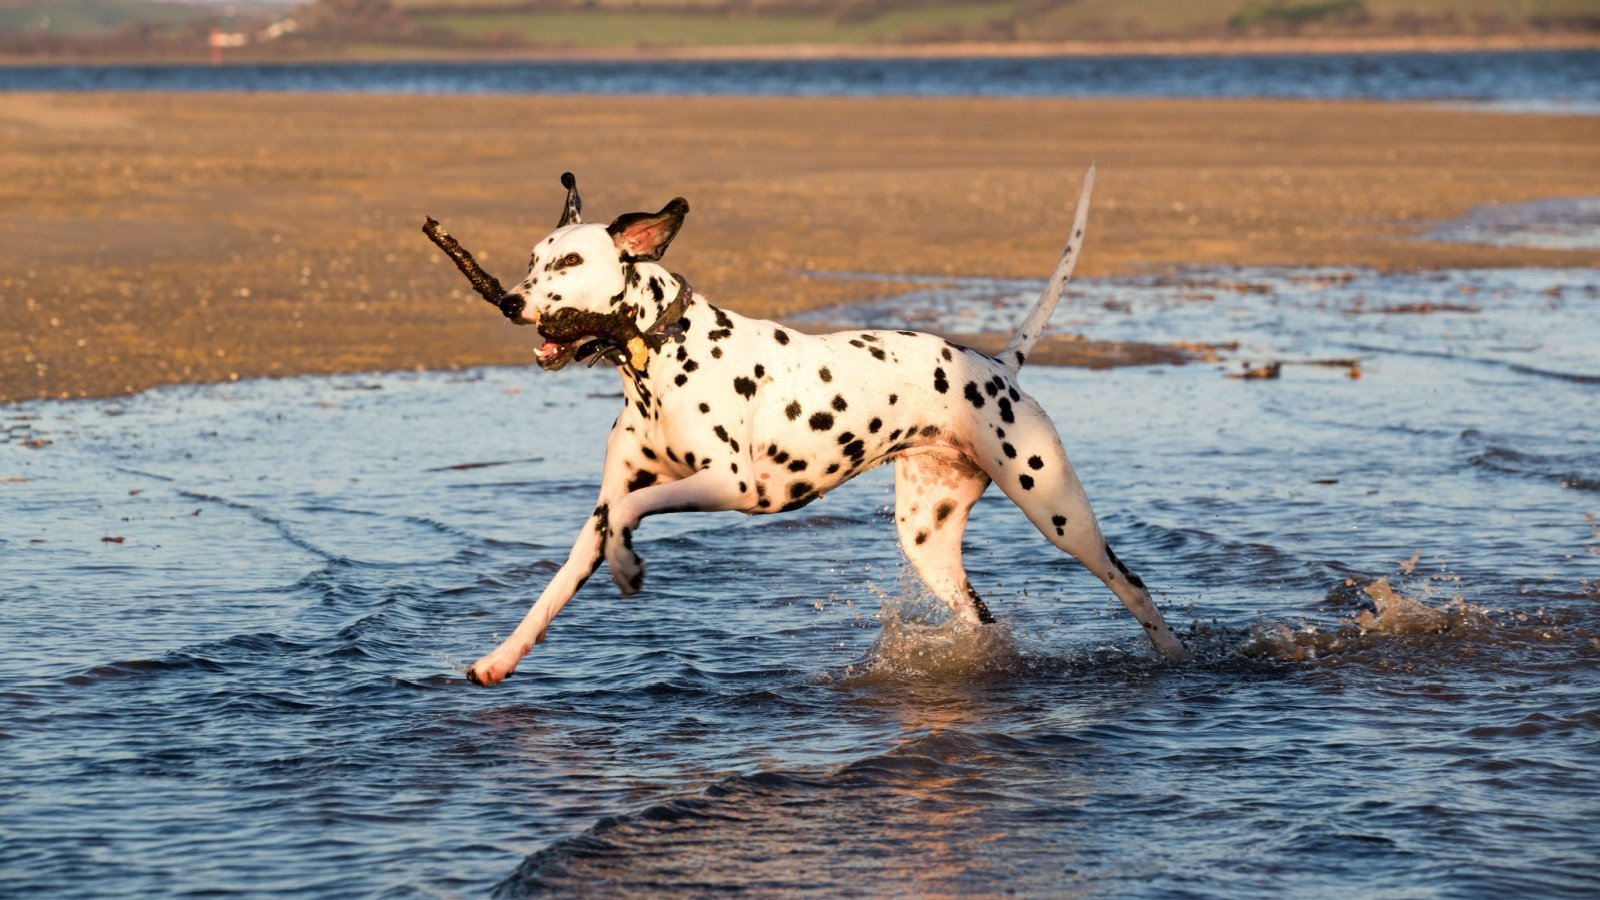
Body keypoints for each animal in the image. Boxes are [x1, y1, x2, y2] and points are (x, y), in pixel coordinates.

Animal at [464, 168, 1190, 682]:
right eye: (532, 260)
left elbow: (631, 512)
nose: (507, 301)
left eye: (570, 264)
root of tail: (997, 364)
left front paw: (626, 566)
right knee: (982, 620)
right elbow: (558, 584)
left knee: (1133, 587)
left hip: (1060, 514)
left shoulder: (733, 487)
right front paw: (501, 658)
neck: (662, 361)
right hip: (927, 545)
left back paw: (1177, 658)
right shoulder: (605, 507)